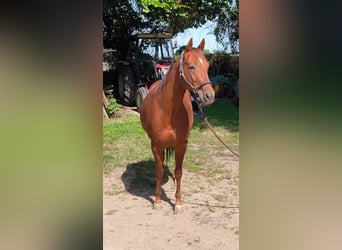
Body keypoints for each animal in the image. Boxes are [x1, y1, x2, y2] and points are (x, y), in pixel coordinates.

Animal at [139, 37, 214, 213]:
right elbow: (159, 171)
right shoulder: (156, 145)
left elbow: (179, 172)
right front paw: (158, 201)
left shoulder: (182, 145)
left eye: (207, 66)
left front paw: (178, 203)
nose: (210, 96)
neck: (167, 110)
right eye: (191, 66)